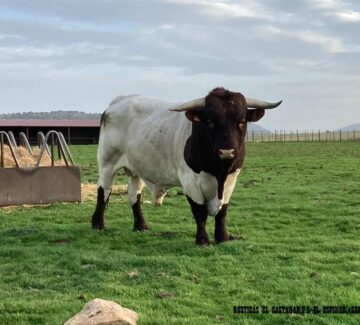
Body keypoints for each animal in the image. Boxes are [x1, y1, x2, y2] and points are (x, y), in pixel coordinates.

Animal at [91, 87, 282, 244]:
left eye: (241, 121)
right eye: (210, 121)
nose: (227, 151)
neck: (218, 172)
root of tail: (118, 101)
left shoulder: (231, 181)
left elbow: (222, 213)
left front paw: (222, 238)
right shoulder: (190, 182)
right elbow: (200, 212)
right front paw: (203, 240)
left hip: (137, 168)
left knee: (134, 195)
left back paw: (141, 226)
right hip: (107, 163)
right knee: (103, 190)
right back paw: (97, 224)